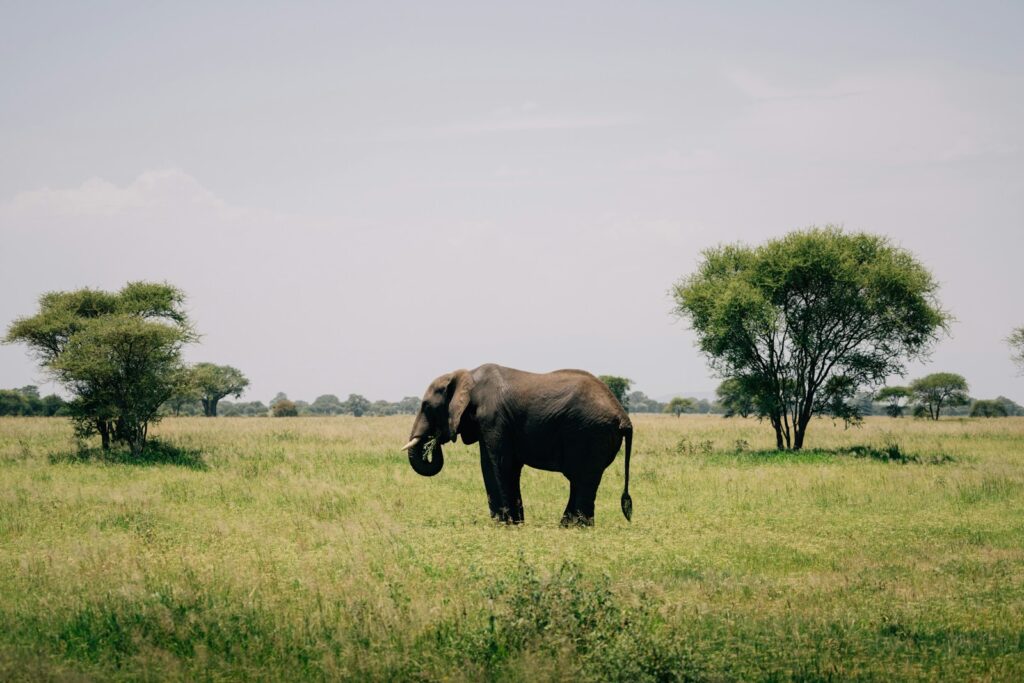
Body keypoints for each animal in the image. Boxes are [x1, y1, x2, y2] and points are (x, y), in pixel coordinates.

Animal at [402, 364, 633, 526]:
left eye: (426, 406)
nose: (433, 440)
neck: (466, 374)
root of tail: (624, 417)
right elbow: (507, 466)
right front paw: (516, 524)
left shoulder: (493, 420)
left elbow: (496, 465)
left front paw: (505, 525)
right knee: (580, 480)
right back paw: (567, 527)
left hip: (591, 434)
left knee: (583, 480)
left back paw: (578, 528)